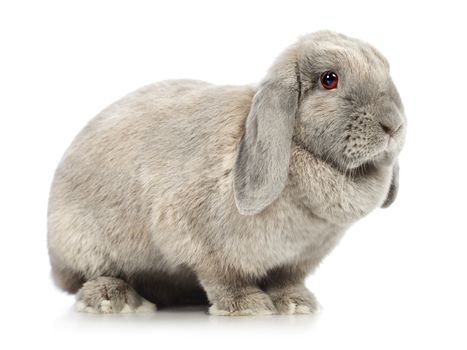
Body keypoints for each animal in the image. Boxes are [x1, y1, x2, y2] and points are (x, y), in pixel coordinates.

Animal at [46, 29, 406, 314]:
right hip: (84, 245)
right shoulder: (201, 242)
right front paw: (247, 306)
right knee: (92, 275)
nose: (394, 125)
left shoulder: (297, 259)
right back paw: (115, 299)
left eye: (387, 72)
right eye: (329, 79)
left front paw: (297, 304)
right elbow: (224, 277)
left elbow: (286, 279)